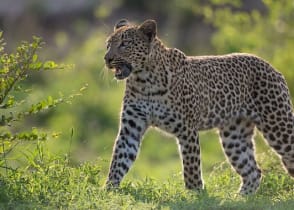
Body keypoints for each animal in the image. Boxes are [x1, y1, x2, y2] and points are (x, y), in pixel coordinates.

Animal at [103, 18, 294, 194]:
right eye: (108, 45)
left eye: (124, 44)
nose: (107, 59)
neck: (143, 80)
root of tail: (272, 68)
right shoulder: (131, 128)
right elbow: (119, 158)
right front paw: (109, 189)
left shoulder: (186, 129)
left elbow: (191, 165)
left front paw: (195, 193)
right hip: (234, 136)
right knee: (253, 171)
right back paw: (240, 198)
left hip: (278, 126)